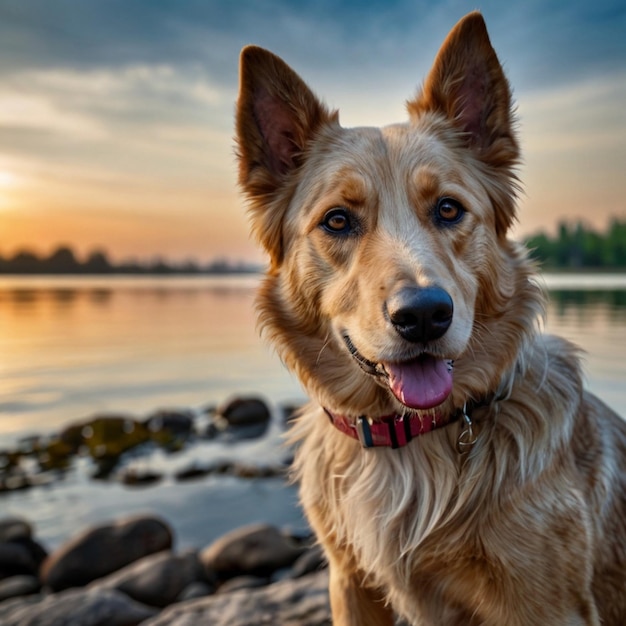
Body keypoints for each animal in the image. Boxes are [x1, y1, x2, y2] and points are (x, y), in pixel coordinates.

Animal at [234, 11, 624, 624]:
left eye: (448, 209)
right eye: (337, 220)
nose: (423, 315)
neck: (409, 444)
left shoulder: (547, 605)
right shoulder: (350, 583)